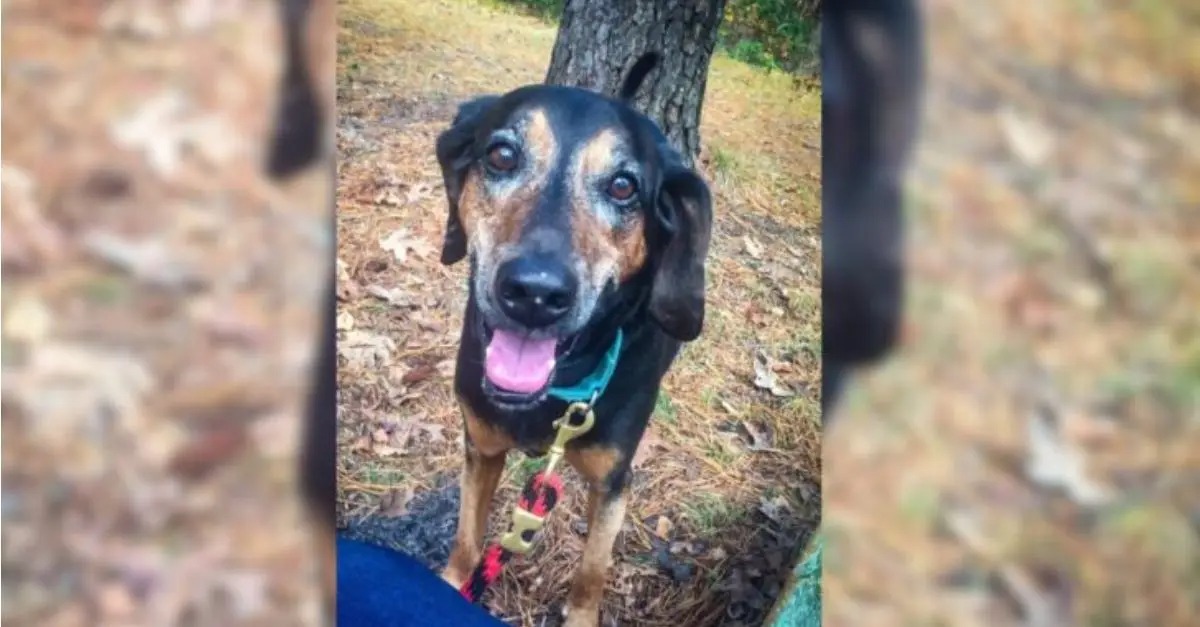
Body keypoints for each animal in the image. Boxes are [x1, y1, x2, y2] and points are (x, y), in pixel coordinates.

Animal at [434, 51, 705, 619]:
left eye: (624, 186)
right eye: (501, 155)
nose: (534, 293)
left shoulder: (613, 483)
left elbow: (591, 572)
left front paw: (581, 617)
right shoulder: (481, 448)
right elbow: (467, 539)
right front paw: (450, 584)